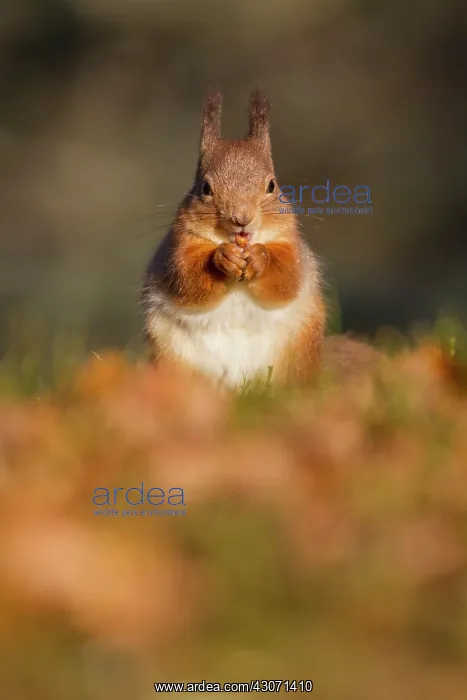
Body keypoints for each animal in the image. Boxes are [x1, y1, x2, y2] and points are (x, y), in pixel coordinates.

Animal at [142, 88, 375, 389]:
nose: (241, 218)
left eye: (272, 185)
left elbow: (286, 278)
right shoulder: (180, 246)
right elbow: (187, 279)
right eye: (205, 188)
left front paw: (260, 258)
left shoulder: (291, 244)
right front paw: (222, 258)